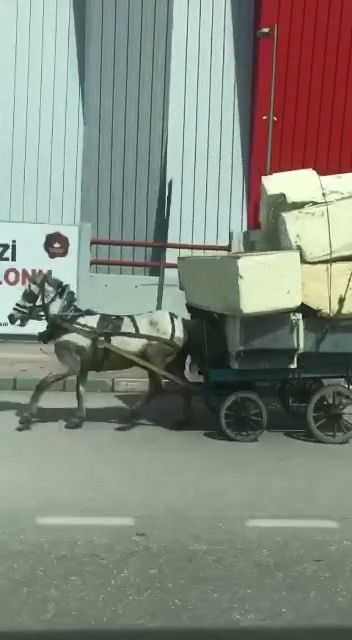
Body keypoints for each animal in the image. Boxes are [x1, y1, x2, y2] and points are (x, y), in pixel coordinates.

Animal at [7, 272, 198, 432]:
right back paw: (183, 420)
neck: (72, 322)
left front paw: (26, 419)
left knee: (157, 387)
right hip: (171, 364)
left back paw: (131, 417)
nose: (11, 316)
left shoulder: (71, 365)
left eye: (29, 294)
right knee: (184, 385)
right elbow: (80, 391)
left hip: (155, 359)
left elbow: (43, 383)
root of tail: (180, 321)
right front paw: (78, 419)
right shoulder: (83, 367)